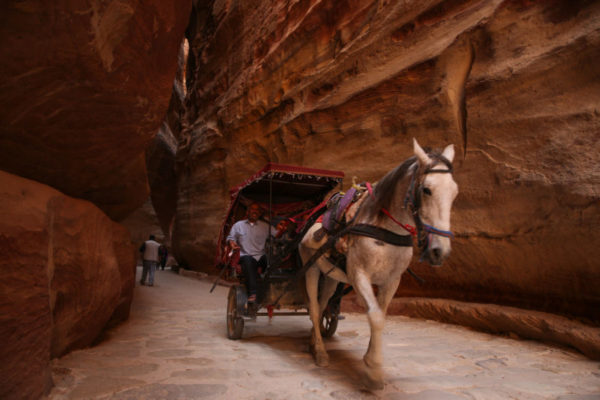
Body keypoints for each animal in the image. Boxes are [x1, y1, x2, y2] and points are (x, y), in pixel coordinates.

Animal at [298, 139, 458, 390]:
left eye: (454, 192)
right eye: (427, 189)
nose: (439, 252)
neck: (383, 229)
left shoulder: (391, 281)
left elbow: (381, 316)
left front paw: (369, 360)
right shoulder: (359, 275)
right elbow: (375, 317)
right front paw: (373, 371)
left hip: (331, 276)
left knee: (322, 305)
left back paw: (315, 344)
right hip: (311, 268)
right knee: (314, 308)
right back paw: (321, 354)